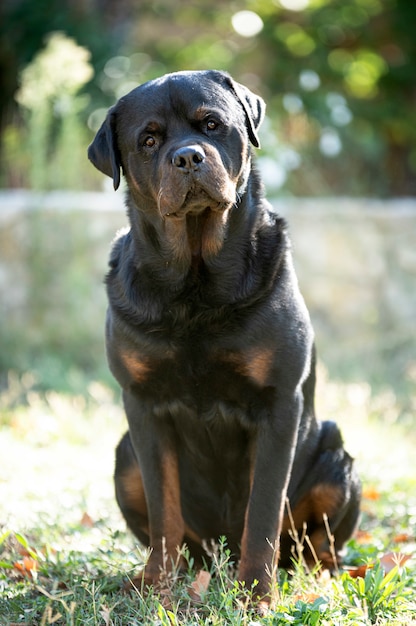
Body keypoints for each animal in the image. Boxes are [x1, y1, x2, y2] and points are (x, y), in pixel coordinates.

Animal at [88, 69, 360, 600]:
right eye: (148, 140)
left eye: (212, 124)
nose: (188, 156)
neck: (196, 282)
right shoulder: (143, 404)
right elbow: (164, 509)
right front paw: (156, 584)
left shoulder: (278, 404)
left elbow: (264, 510)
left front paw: (256, 592)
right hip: (124, 455)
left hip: (336, 459)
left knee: (317, 542)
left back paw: (319, 577)